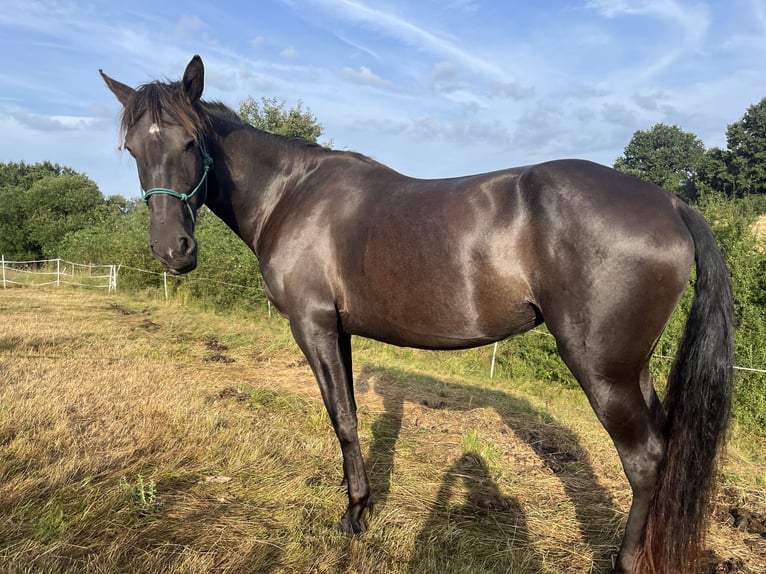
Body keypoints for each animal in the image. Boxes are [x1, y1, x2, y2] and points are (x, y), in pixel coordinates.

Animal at [99, 55, 736, 574]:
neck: (291, 193)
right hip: (633, 368)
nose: (172, 250)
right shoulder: (339, 329)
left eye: (189, 142)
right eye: (134, 151)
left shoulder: (312, 324)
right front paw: (357, 498)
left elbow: (343, 417)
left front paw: (355, 515)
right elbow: (350, 413)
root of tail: (671, 201)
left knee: (645, 459)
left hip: (602, 367)